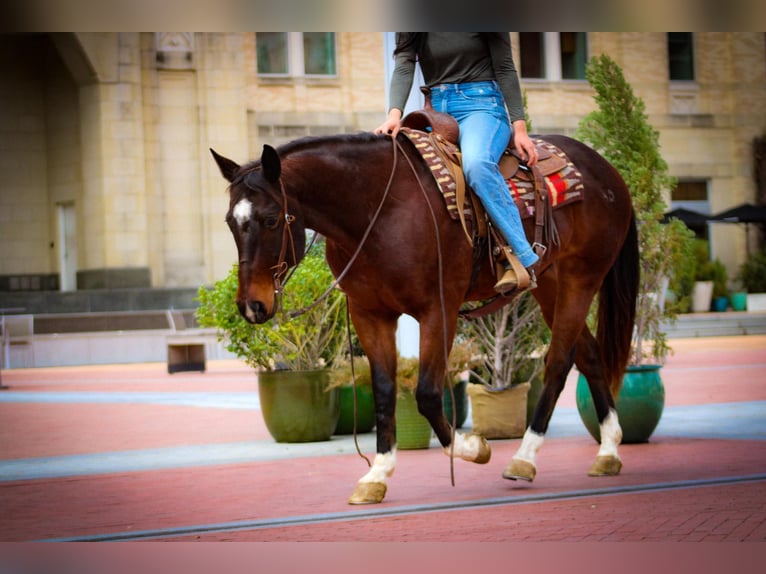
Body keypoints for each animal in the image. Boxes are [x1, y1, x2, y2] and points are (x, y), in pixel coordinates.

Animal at [212, 128, 640, 506]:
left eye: (271, 219)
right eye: (230, 222)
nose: (251, 305)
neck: (379, 211)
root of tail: (606, 169)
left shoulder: (439, 309)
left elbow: (429, 394)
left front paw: (474, 447)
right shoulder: (370, 314)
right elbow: (385, 391)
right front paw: (377, 474)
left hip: (580, 280)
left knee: (558, 363)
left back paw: (524, 457)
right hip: (548, 284)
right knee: (588, 356)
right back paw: (608, 450)